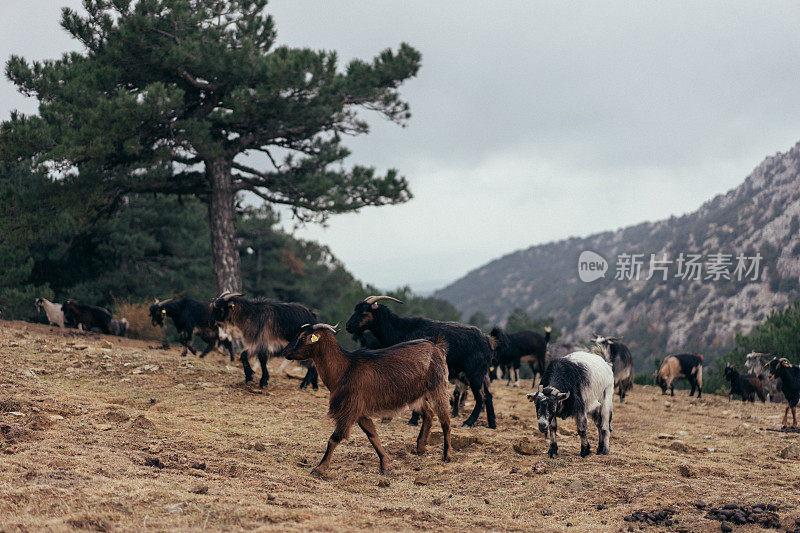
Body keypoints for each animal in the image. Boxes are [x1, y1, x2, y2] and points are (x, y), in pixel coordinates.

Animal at [280, 322, 454, 476]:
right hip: (416, 395)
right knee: (429, 413)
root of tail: (437, 346)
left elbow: (334, 438)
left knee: (445, 420)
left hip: (438, 386)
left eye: (303, 337)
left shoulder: (349, 409)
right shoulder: (360, 412)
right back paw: (420, 448)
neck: (344, 369)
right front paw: (385, 465)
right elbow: (373, 436)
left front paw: (319, 468)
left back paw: (446, 456)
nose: (285, 351)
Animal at [346, 296, 496, 428]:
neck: (399, 330)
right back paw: (492, 424)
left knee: (481, 397)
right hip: (476, 374)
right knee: (488, 395)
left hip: (474, 373)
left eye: (364, 312)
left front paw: (411, 420)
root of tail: (487, 340)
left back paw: (469, 422)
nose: (348, 326)